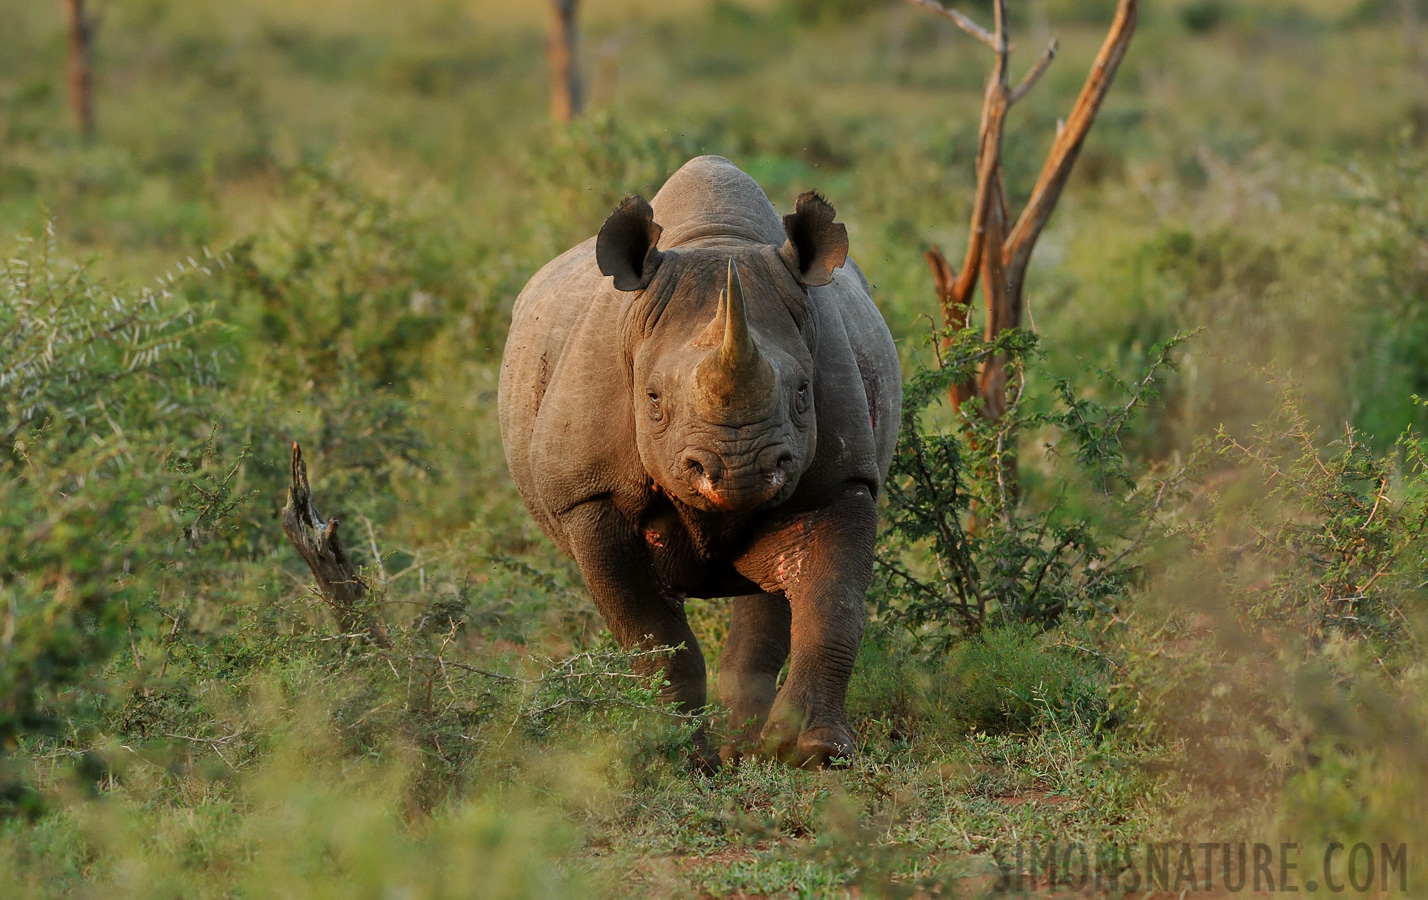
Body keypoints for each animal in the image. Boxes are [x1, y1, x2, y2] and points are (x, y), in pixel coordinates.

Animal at [502, 155, 896, 771]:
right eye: (653, 400)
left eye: (804, 393)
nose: (739, 471)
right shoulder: (589, 494)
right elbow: (652, 636)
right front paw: (677, 759)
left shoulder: (841, 478)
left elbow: (833, 606)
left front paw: (813, 753)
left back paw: (752, 746)